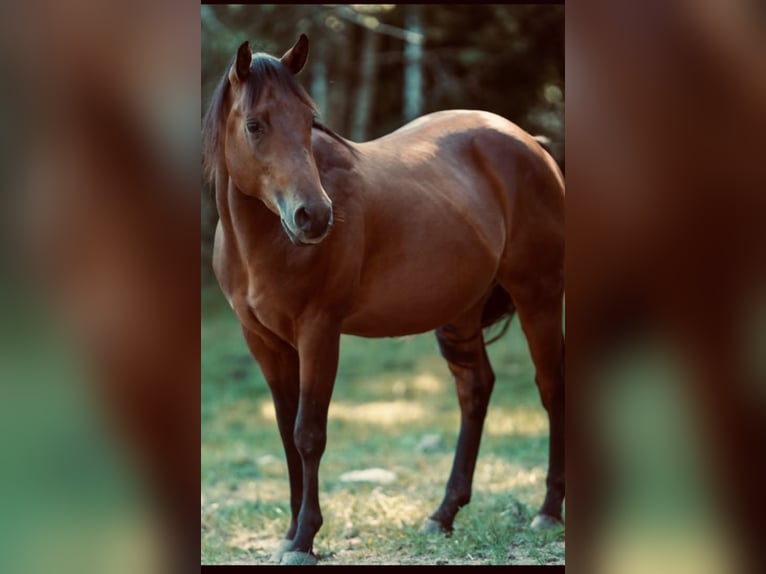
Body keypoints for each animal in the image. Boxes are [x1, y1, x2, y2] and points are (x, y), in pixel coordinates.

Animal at [202, 34, 565, 565]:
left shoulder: (319, 332)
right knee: (475, 390)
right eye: (254, 124)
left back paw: (548, 511)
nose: (315, 216)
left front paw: (306, 538)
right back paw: (443, 514)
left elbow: (308, 435)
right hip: (460, 315)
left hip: (539, 294)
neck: (263, 243)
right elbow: (286, 435)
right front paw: (289, 534)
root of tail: (531, 145)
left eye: (309, 120)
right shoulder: (263, 342)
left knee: (550, 387)